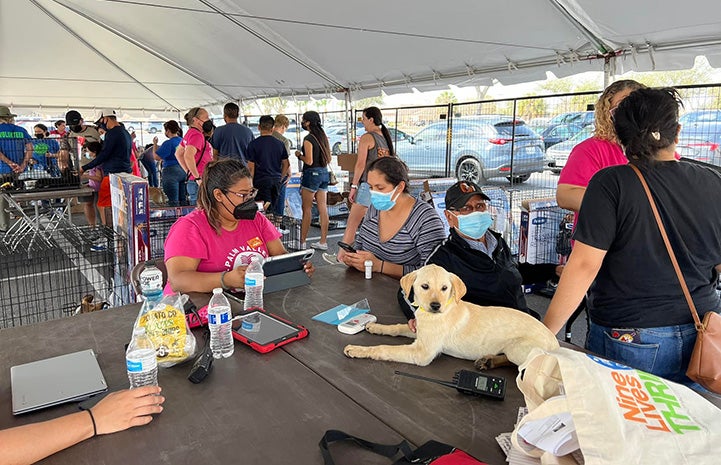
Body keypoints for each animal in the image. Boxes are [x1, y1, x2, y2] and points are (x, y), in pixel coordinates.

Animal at [346, 264, 560, 366]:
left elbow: (384, 348)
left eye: (444, 288)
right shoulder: (419, 332)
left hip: (517, 349)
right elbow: (398, 327)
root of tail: (556, 343)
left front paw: (358, 350)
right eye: (425, 286)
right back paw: (489, 360)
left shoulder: (421, 353)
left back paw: (490, 360)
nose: (435, 306)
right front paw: (376, 326)